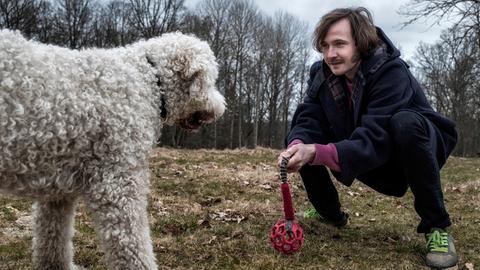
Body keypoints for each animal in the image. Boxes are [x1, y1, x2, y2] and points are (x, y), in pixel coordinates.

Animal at [0, 29, 225, 270]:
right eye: (211, 80)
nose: (221, 108)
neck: (149, 78)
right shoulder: (118, 182)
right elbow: (133, 247)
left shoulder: (58, 188)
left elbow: (52, 240)